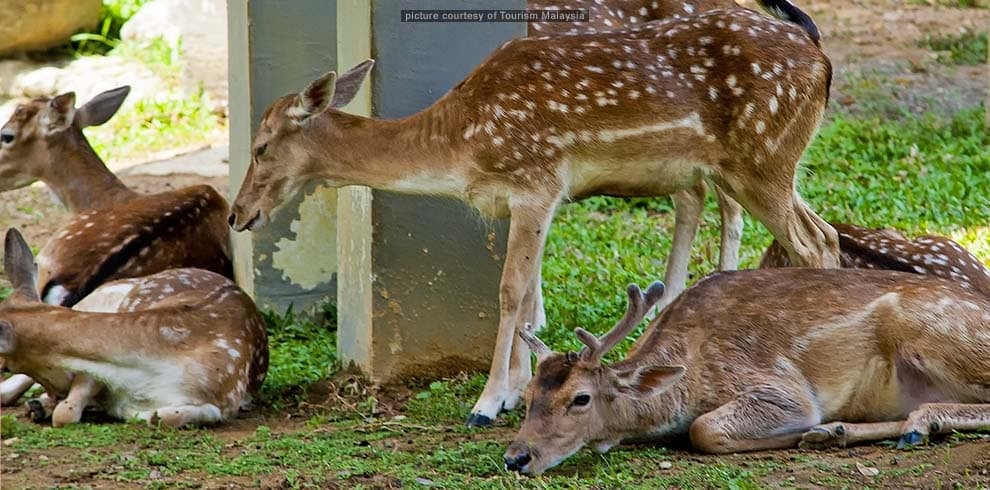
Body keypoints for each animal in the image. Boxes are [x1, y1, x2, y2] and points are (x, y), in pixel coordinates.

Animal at [0, 228, 270, 426]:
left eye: (4, 365)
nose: (57, 392)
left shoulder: (226, 400)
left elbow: (162, 417)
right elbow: (69, 409)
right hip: (96, 300)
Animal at [229, 0, 840, 424]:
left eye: (260, 147)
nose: (237, 216)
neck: (461, 144)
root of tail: (820, 56)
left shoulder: (536, 182)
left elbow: (507, 290)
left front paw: (486, 401)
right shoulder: (525, 200)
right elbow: (525, 295)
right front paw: (519, 389)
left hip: (762, 158)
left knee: (811, 242)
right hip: (748, 166)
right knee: (822, 233)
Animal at [512, 272, 990, 474]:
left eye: (581, 398)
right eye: (527, 397)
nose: (516, 457)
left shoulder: (779, 387)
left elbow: (702, 429)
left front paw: (795, 433)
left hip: (931, 333)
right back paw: (836, 432)